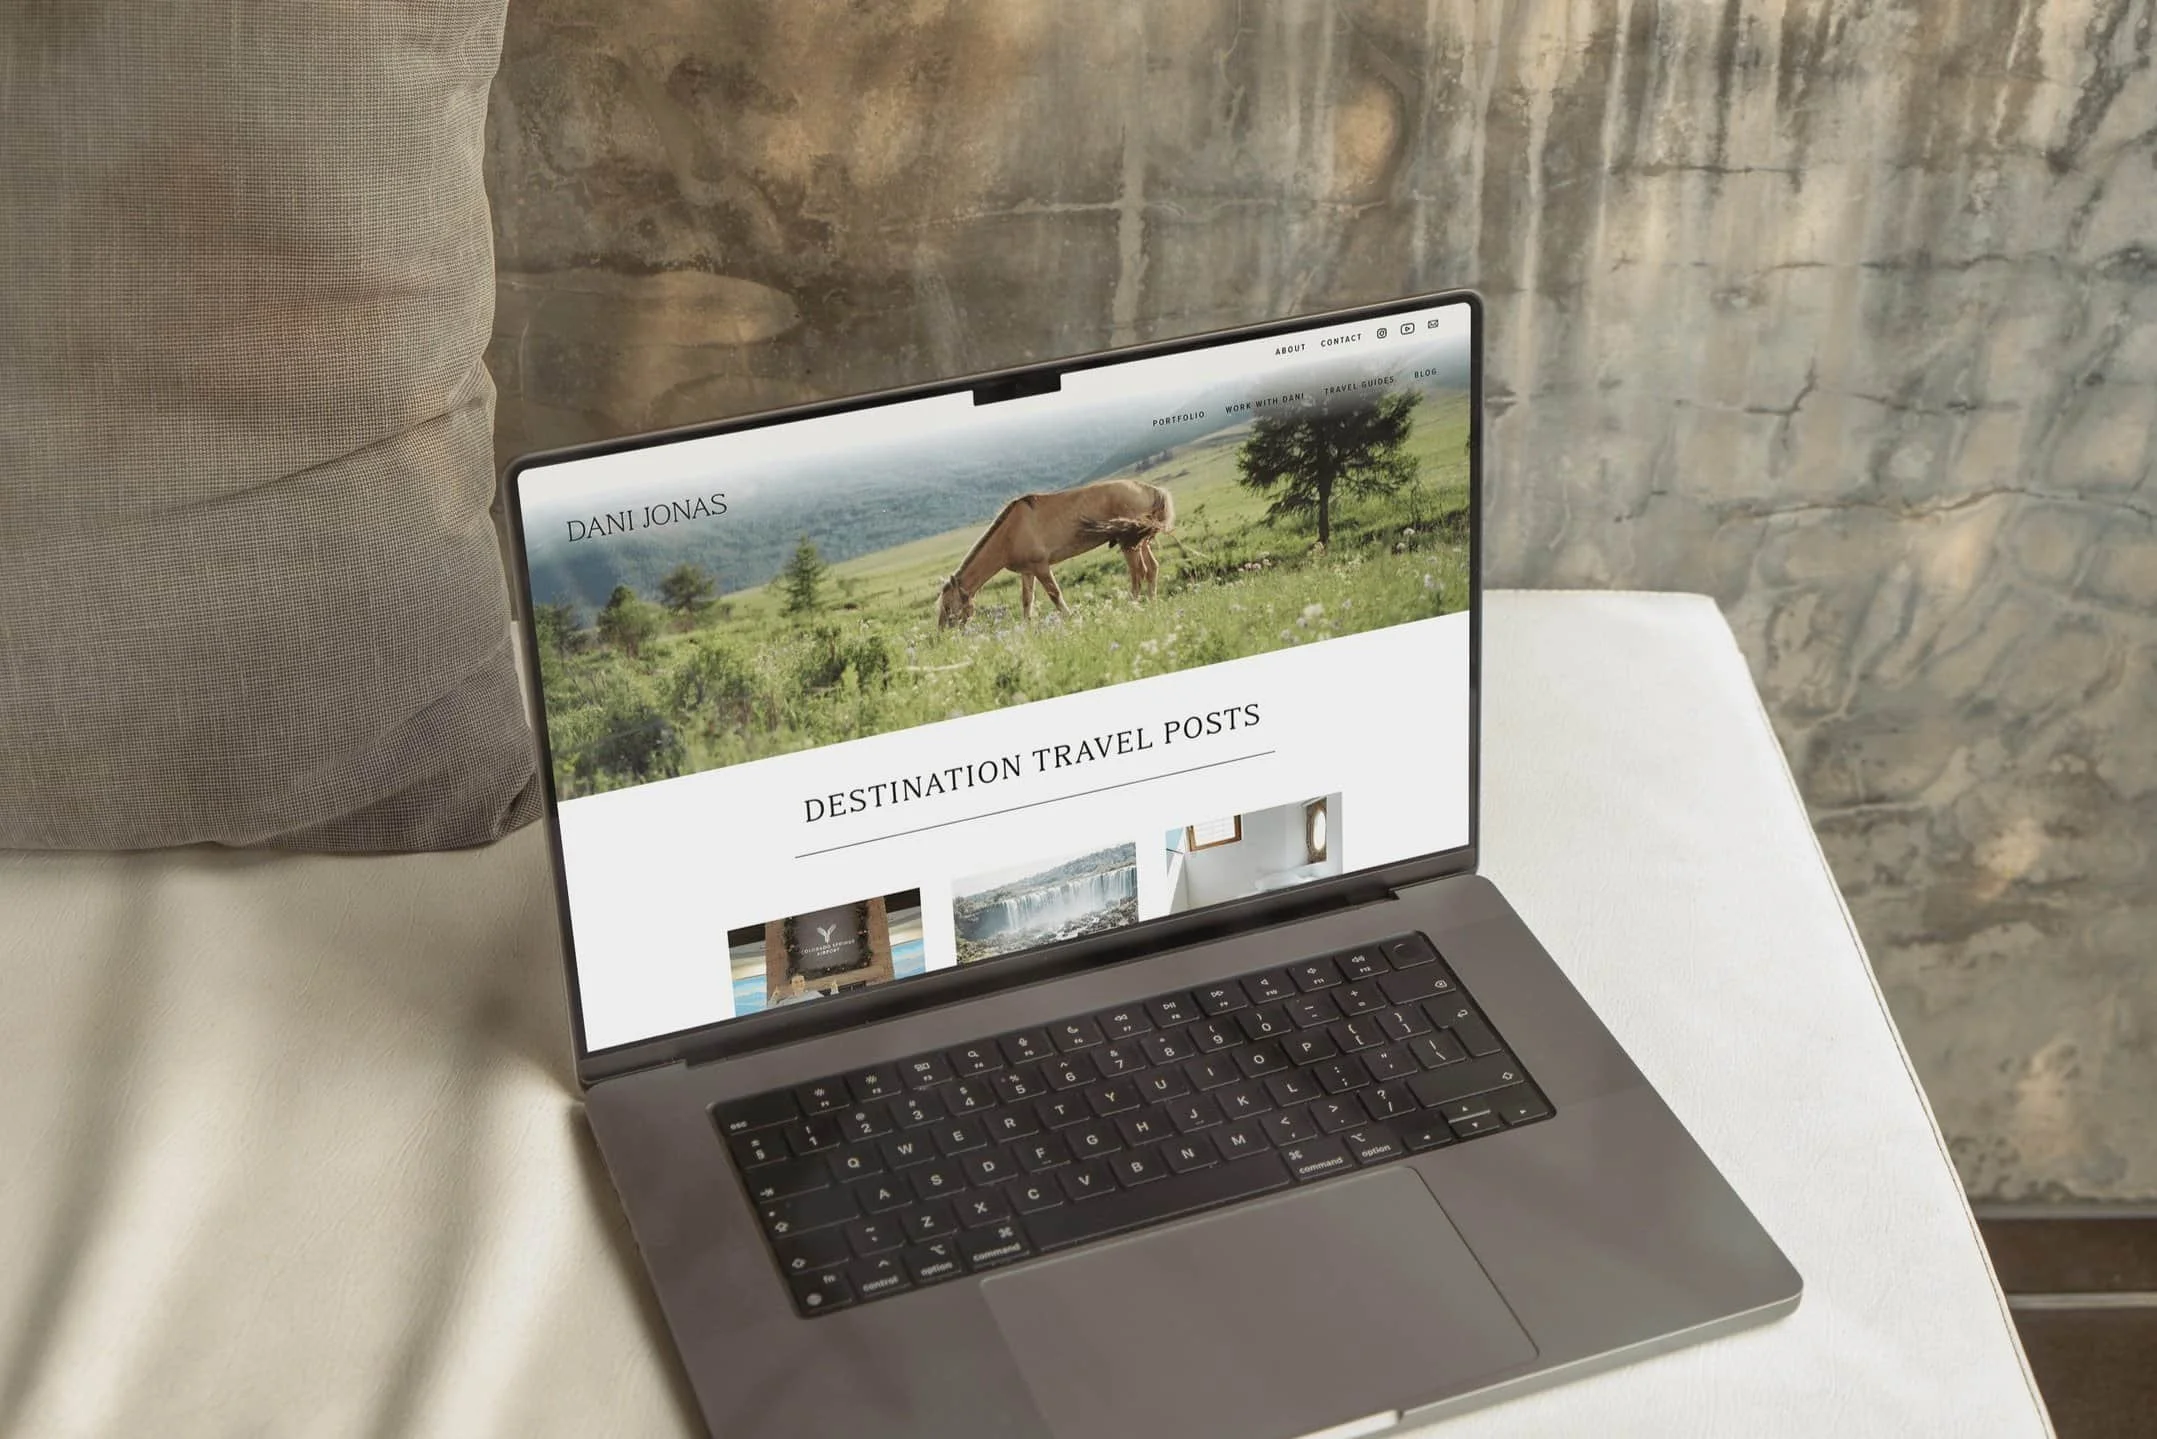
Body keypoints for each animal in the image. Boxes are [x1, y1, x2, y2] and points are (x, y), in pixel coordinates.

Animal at [936, 479, 1175, 629]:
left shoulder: (1041, 567)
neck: (1011, 533)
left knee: (1138, 572)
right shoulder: (1027, 572)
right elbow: (1026, 601)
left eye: (947, 606)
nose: (943, 635)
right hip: (1139, 541)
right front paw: (1027, 631)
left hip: (1129, 544)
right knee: (1151, 569)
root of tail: (1151, 490)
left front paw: (1071, 620)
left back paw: (1133, 607)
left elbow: (1055, 595)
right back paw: (1152, 604)